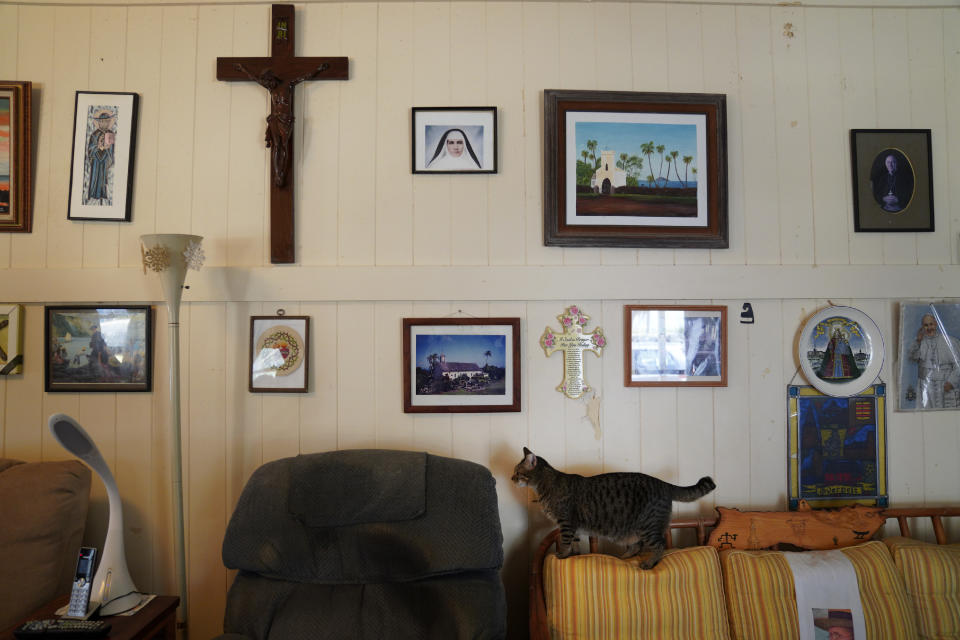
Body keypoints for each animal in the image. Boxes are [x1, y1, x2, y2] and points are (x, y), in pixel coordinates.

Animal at [512, 444, 716, 568]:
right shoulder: (573, 526)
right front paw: (575, 555)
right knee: (637, 546)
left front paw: (562, 555)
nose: (512, 478)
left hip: (648, 527)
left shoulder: (566, 522)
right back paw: (623, 558)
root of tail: (663, 483)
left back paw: (648, 564)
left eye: (517, 472)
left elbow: (566, 541)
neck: (545, 484)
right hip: (634, 530)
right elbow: (575, 543)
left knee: (659, 545)